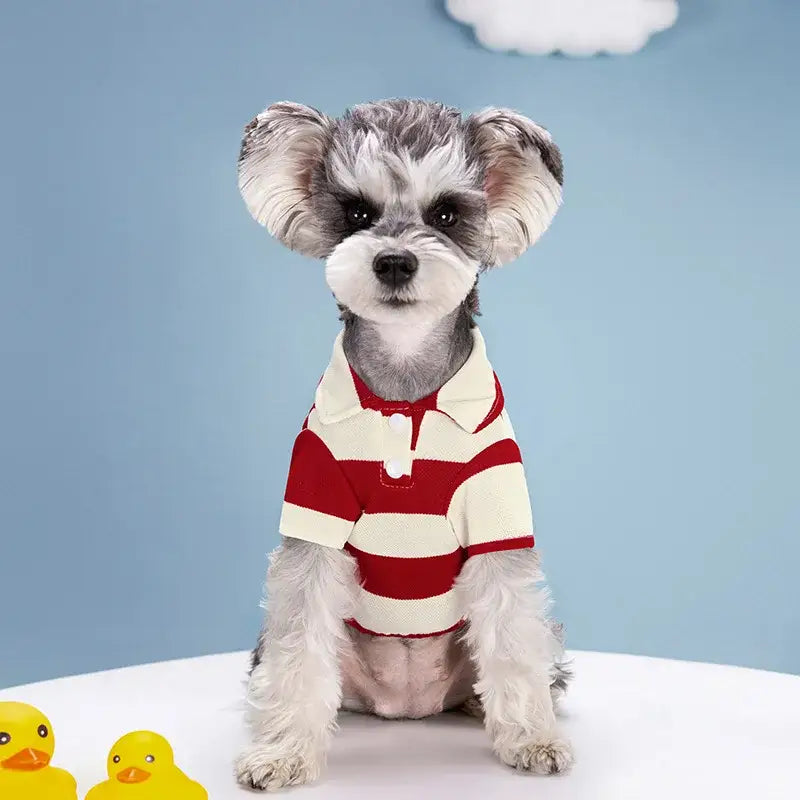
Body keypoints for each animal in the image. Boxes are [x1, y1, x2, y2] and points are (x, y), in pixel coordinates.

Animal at [234, 98, 572, 788]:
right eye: (357, 212)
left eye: (445, 214)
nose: (394, 261)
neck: (404, 389)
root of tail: (407, 705)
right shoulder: (314, 518)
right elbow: (296, 645)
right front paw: (282, 752)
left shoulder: (498, 526)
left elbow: (514, 636)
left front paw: (532, 738)